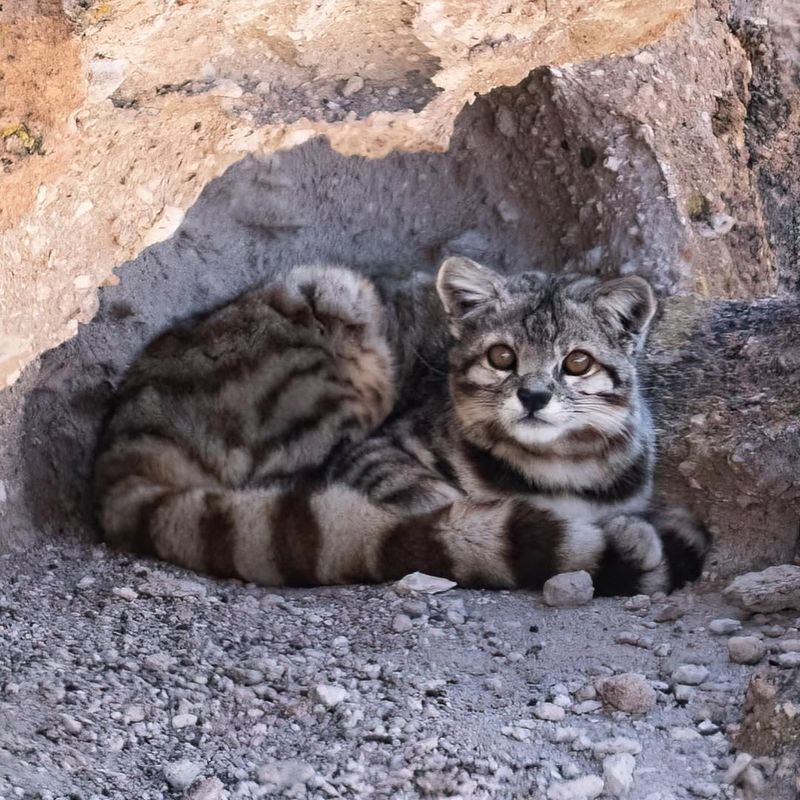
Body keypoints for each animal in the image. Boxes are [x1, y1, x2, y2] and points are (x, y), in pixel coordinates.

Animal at [94, 256, 708, 592]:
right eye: (502, 356)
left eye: (577, 362)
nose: (533, 395)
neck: (560, 467)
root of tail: (128, 427)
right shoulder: (377, 450)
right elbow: (435, 501)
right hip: (333, 310)